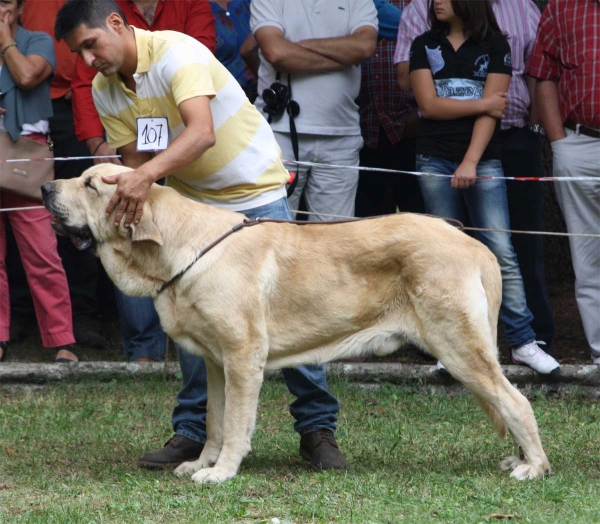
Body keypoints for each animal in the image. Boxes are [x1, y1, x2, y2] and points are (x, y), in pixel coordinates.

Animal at [39, 166, 552, 486]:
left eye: (90, 185)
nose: (45, 188)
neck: (183, 249)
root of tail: (475, 246)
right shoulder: (217, 364)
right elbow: (215, 422)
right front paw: (202, 462)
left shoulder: (244, 358)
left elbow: (237, 425)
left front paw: (221, 473)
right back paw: (522, 459)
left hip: (459, 348)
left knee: (516, 401)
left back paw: (534, 467)